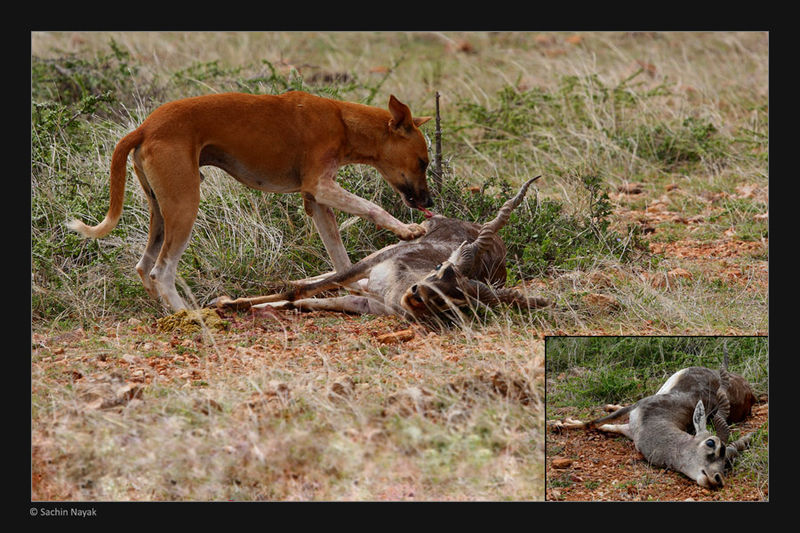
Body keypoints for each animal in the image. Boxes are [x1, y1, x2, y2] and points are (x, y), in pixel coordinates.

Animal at [68, 89, 432, 310]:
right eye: (423, 162)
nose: (428, 202)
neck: (342, 120)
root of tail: (144, 127)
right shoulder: (321, 186)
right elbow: (373, 208)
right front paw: (407, 230)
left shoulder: (317, 202)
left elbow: (342, 262)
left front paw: (353, 287)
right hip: (185, 207)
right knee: (161, 271)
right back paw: (189, 314)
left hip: (160, 211)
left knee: (144, 267)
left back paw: (166, 310)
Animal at [212, 177, 552, 322]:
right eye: (441, 267)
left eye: (458, 299)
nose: (417, 296)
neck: (392, 292)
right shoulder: (379, 260)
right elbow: (300, 291)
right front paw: (227, 301)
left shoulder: (366, 306)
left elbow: (302, 302)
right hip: (390, 246)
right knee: (336, 273)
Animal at [552, 352, 760, 488]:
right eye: (711, 443)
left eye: (727, 463)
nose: (717, 479)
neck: (660, 419)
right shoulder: (637, 408)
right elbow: (593, 422)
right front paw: (560, 423)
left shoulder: (632, 430)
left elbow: (608, 426)